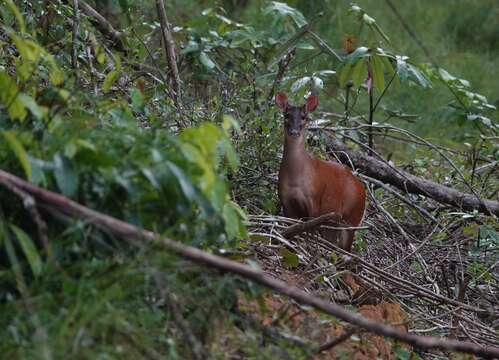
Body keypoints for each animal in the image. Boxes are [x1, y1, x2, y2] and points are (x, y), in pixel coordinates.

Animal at [276, 91, 366, 252]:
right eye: (286, 115)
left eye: (304, 117)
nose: (294, 132)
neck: (295, 179)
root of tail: (363, 189)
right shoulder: (286, 201)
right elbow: (291, 231)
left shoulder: (314, 201)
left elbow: (309, 233)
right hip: (332, 221)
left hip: (352, 217)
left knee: (346, 248)